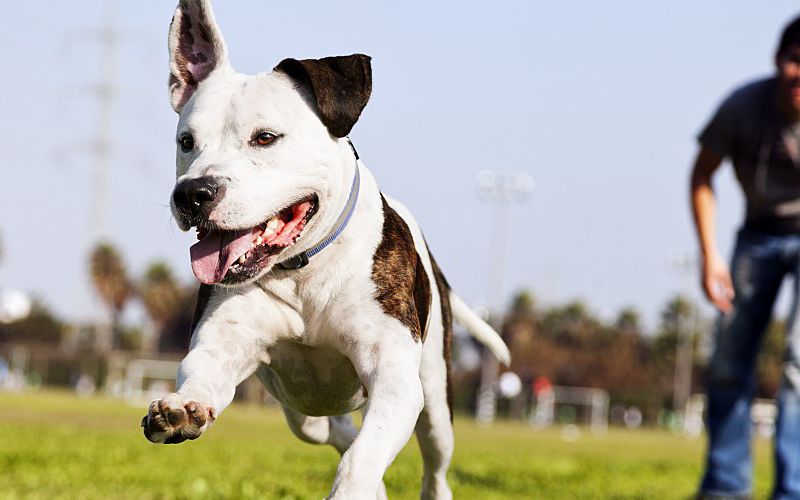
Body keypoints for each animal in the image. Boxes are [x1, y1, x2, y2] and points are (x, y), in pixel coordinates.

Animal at [141, 1, 510, 498]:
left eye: (265, 137)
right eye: (186, 142)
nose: (193, 193)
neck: (303, 270)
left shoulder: (393, 377)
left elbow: (363, 456)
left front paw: (352, 487)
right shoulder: (223, 341)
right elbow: (203, 370)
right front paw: (182, 409)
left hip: (434, 397)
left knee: (432, 462)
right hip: (302, 410)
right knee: (332, 430)